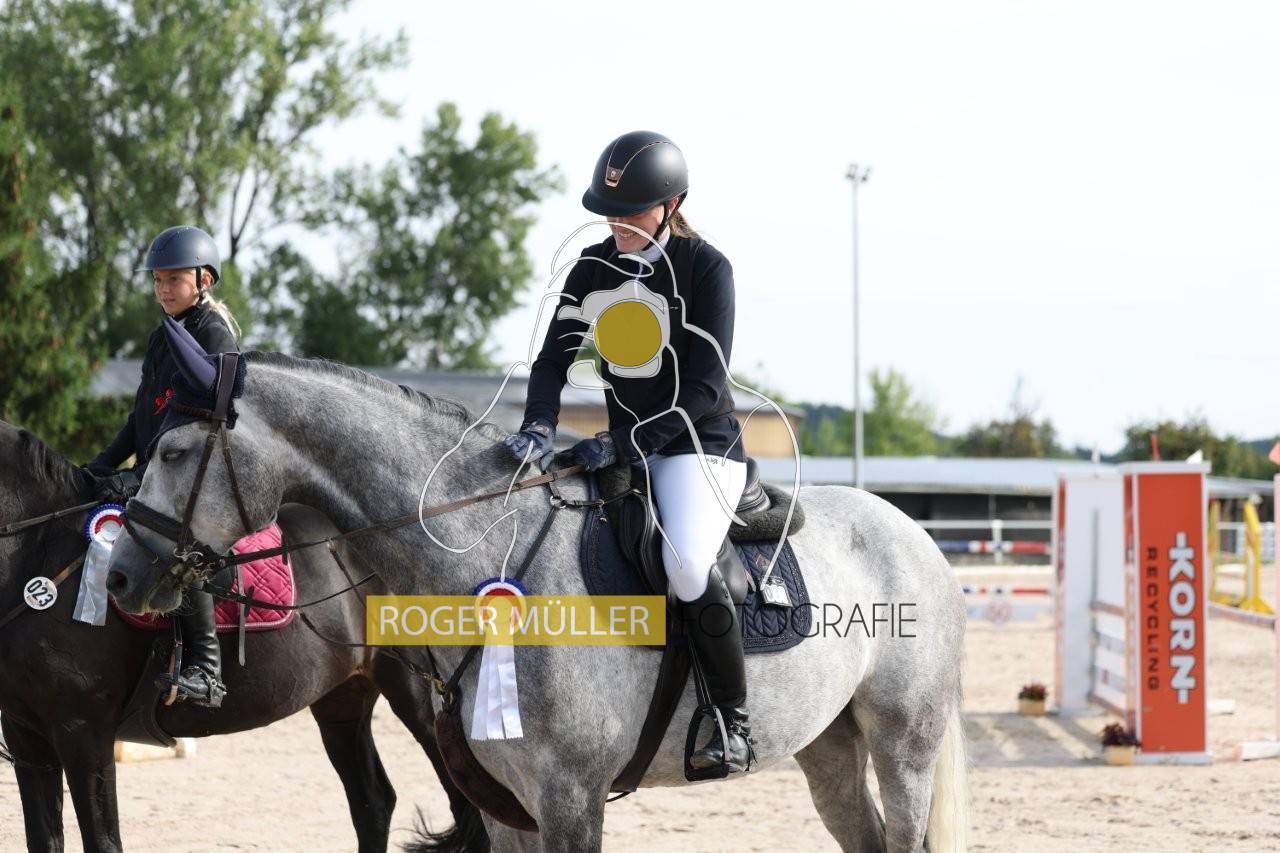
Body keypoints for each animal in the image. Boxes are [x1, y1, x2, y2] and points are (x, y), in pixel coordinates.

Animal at [0, 422, 488, 853]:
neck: (41, 553)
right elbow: (44, 840)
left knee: (469, 811)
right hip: (343, 697)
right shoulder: (27, 736)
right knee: (373, 803)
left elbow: (103, 842)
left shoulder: (84, 734)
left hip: (417, 696)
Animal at [105, 350, 971, 853]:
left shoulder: (570, 799)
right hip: (828, 744)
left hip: (903, 744)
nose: (118, 577)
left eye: (174, 452)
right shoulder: (505, 803)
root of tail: (911, 531)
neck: (490, 559)